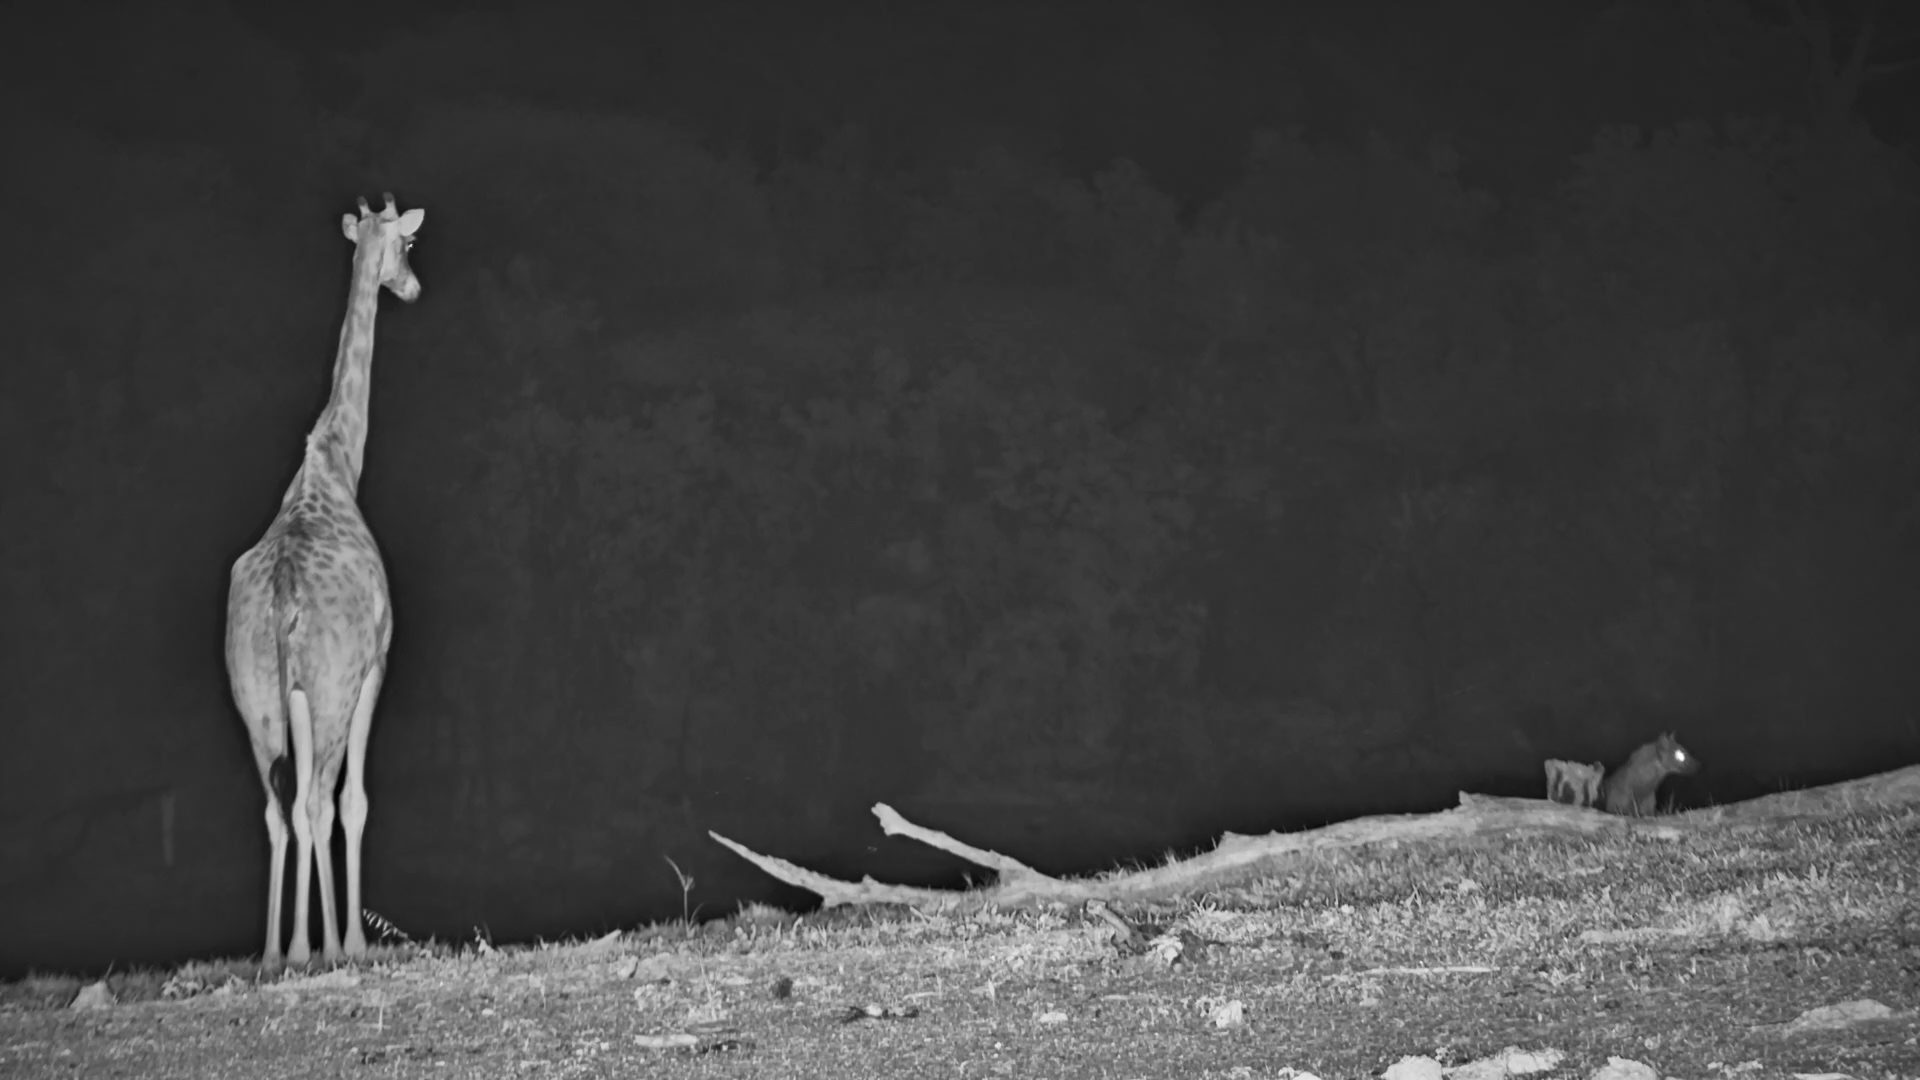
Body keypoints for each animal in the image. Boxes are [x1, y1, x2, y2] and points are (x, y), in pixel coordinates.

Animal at [225, 193, 424, 967]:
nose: (411, 287)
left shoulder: (298, 693)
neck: (336, 461)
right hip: (332, 686)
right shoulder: (374, 665)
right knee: (315, 797)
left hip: (256, 697)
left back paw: (276, 954)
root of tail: (284, 589)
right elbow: (351, 801)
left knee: (276, 805)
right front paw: (344, 944)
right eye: (408, 245)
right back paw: (333, 947)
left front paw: (300, 945)